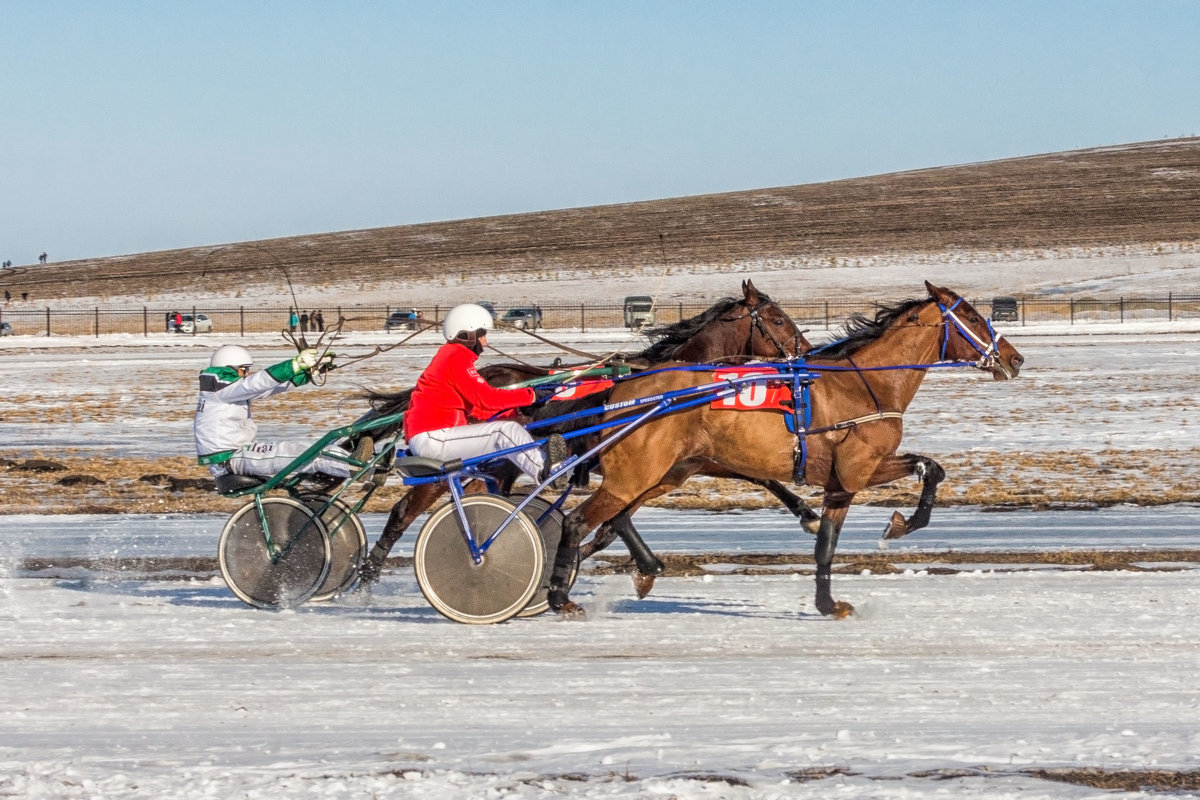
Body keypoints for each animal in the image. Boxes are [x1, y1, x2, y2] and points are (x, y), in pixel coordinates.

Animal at [350, 280, 811, 587]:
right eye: (777, 319)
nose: (806, 352)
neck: (670, 381)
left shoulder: (680, 462)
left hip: (497, 468)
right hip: (452, 456)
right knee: (403, 512)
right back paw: (366, 576)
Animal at [549, 281, 1027, 618]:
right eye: (971, 316)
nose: (1014, 358)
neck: (865, 386)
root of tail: (621, 388)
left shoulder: (846, 477)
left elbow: (924, 472)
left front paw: (832, 598)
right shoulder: (856, 470)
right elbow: (841, 528)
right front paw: (896, 528)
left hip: (664, 472)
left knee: (612, 517)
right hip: (637, 473)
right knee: (577, 521)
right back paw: (560, 596)